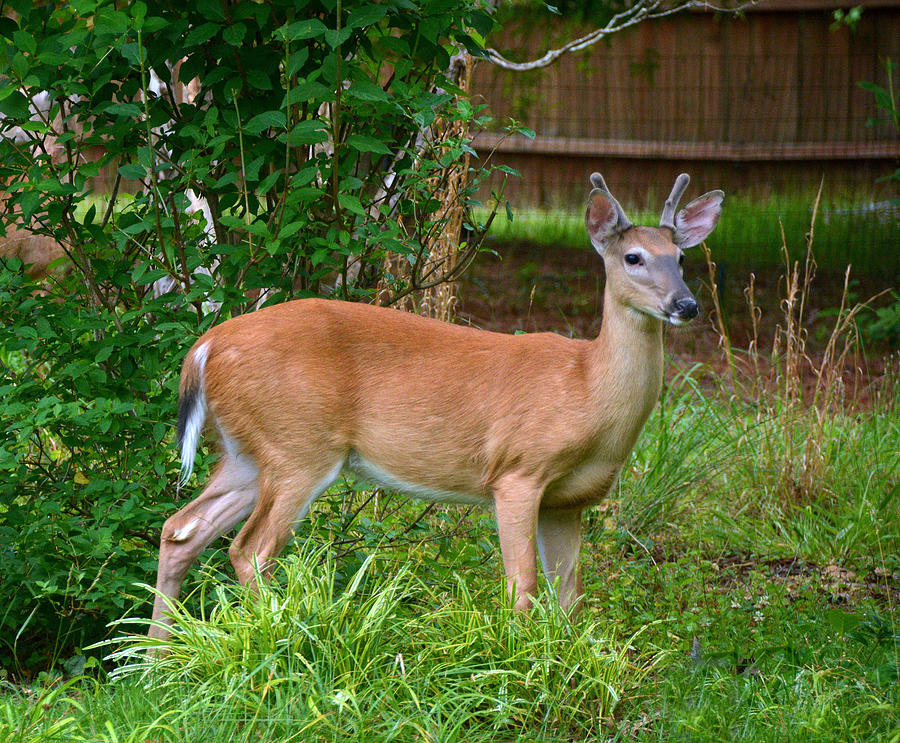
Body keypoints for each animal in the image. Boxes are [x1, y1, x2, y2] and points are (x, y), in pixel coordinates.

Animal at [149, 171, 724, 636]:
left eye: (682, 258)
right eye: (633, 258)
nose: (687, 304)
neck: (587, 391)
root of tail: (204, 348)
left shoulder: (568, 501)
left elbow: (570, 601)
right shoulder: (518, 471)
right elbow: (523, 587)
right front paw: (516, 670)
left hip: (248, 451)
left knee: (181, 530)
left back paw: (154, 660)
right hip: (298, 444)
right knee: (249, 550)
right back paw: (278, 635)